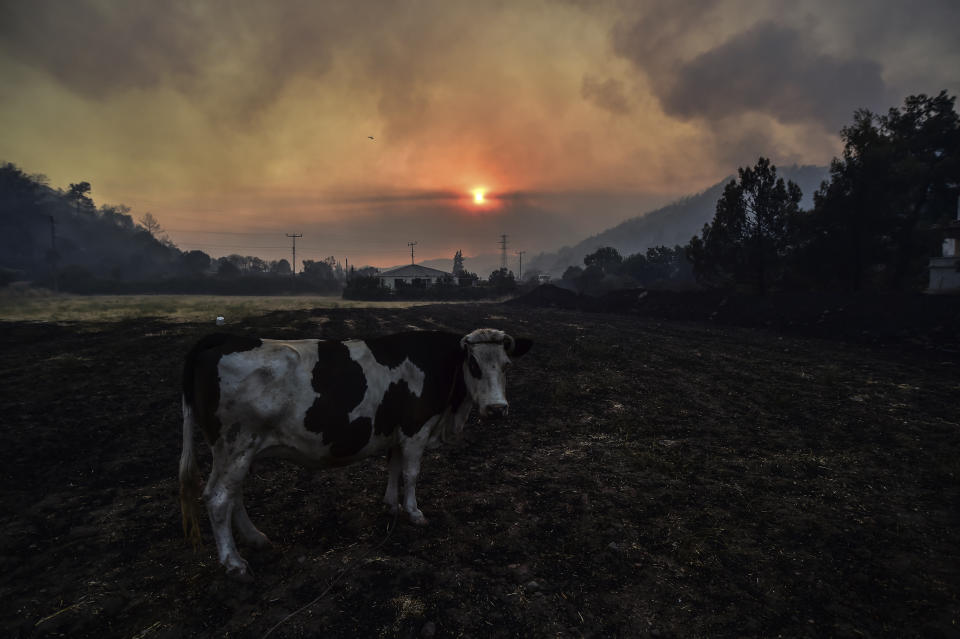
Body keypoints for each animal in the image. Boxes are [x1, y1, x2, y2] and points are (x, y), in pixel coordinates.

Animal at [179, 328, 532, 576]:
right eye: (473, 365)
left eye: (506, 365)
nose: (497, 409)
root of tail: (223, 337)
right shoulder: (415, 429)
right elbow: (411, 473)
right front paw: (414, 512)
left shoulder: (394, 432)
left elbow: (392, 466)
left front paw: (390, 505)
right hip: (235, 446)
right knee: (218, 498)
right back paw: (233, 562)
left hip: (236, 451)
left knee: (232, 495)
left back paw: (255, 538)